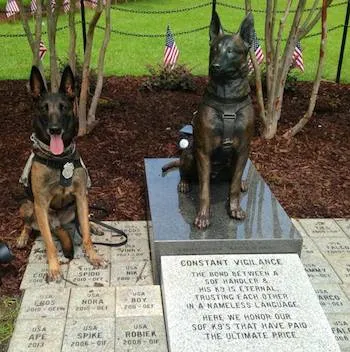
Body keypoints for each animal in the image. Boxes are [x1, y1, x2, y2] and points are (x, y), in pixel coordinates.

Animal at [17, 66, 105, 280]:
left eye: (63, 107)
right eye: (43, 108)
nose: (55, 129)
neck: (59, 160)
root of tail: (58, 222)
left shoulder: (81, 196)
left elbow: (86, 235)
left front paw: (92, 256)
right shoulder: (40, 205)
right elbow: (49, 242)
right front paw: (54, 267)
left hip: (77, 205)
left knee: (83, 221)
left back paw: (95, 225)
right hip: (27, 206)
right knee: (28, 224)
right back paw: (23, 237)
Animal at [163, 11, 256, 228]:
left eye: (232, 51)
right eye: (214, 49)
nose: (215, 66)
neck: (228, 98)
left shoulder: (243, 150)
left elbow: (233, 187)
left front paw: (234, 208)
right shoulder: (203, 151)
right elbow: (204, 190)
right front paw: (204, 215)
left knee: (234, 180)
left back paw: (242, 183)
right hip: (190, 154)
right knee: (185, 171)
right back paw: (184, 183)